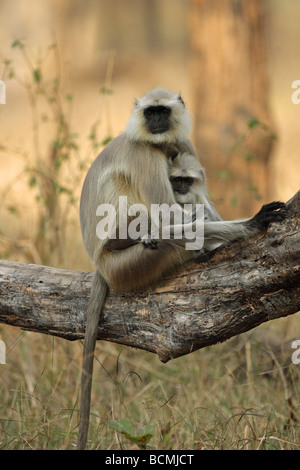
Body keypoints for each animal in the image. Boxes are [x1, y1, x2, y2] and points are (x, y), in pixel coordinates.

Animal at [77, 86, 286, 450]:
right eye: (150, 112)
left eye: (162, 111)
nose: (157, 122)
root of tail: (100, 264)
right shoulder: (143, 153)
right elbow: (169, 215)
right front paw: (252, 222)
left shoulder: (184, 148)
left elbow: (202, 198)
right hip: (126, 264)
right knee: (160, 231)